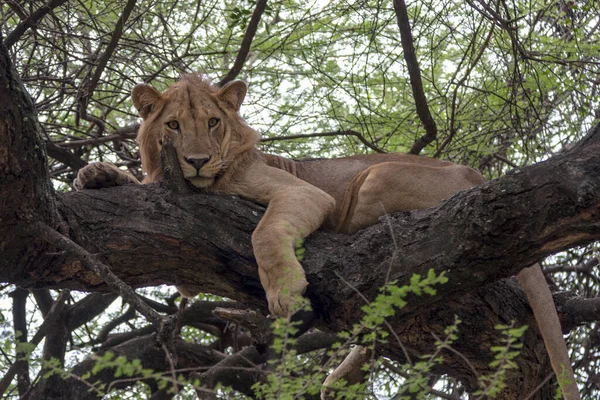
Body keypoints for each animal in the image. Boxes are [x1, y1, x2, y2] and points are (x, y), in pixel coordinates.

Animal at [72, 73, 580, 398]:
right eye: (174, 125)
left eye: (213, 123)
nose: (195, 161)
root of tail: (479, 175)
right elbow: (142, 187)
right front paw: (96, 173)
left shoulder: (303, 191)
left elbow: (264, 233)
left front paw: (286, 295)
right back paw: (341, 381)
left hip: (374, 177)